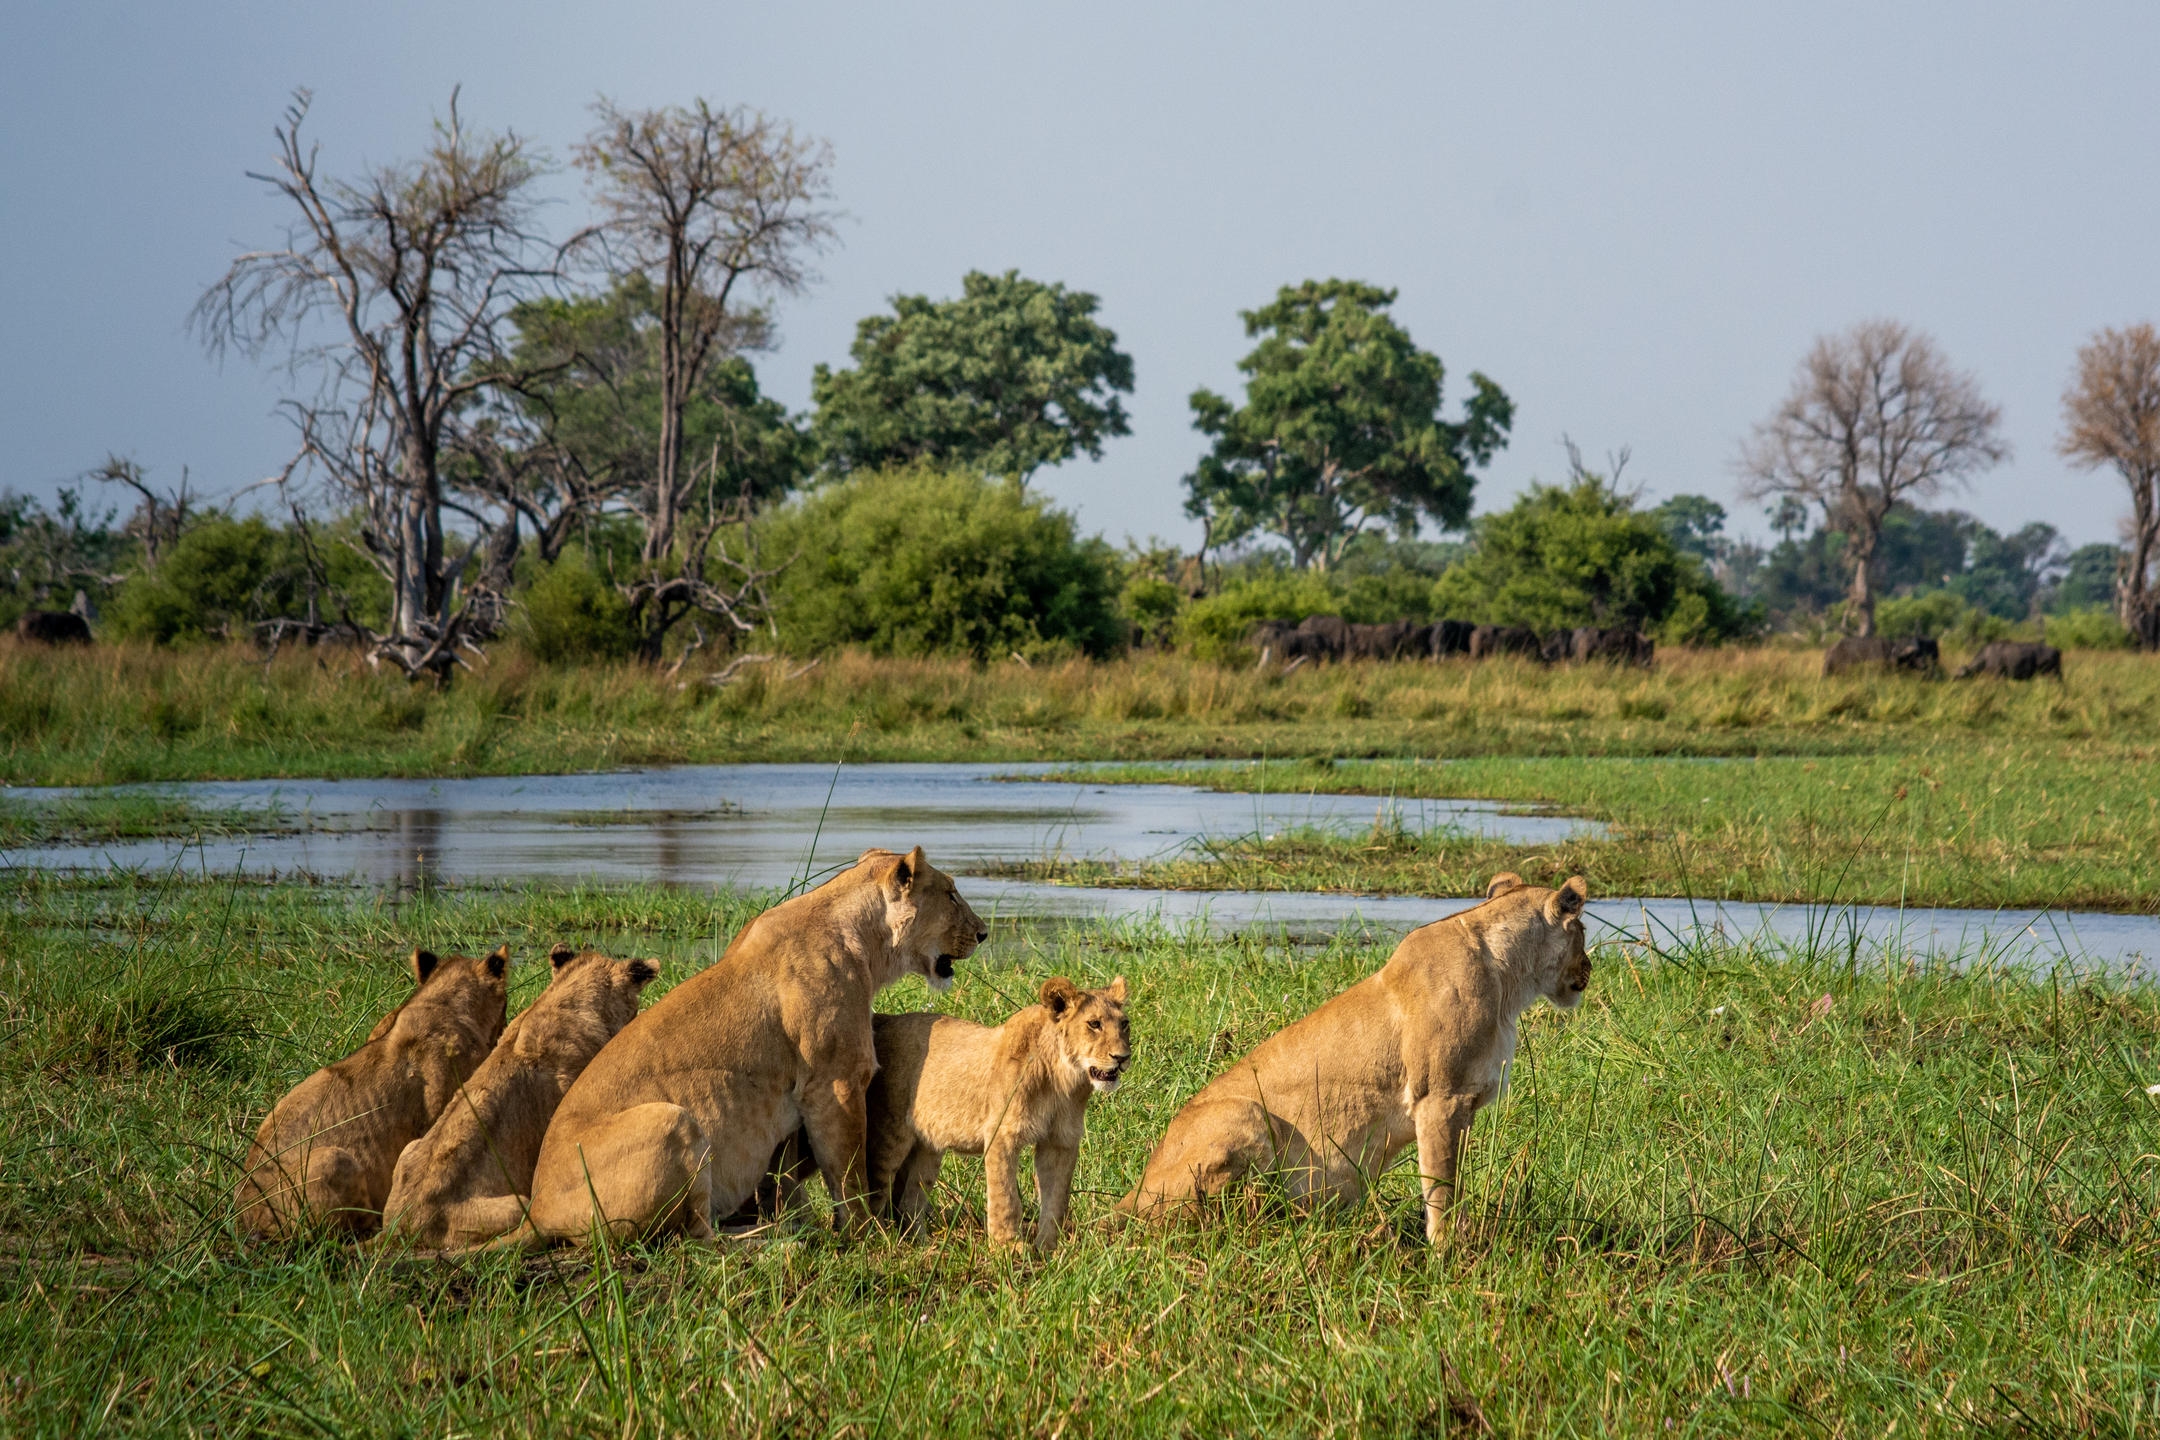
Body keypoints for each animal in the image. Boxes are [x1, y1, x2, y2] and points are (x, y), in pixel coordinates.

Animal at [512, 847, 985, 1246]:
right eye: (951, 893)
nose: (983, 933)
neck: (865, 938)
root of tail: (539, 1214)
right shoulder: (836, 1083)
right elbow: (848, 1171)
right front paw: (867, 1234)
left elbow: (785, 1175)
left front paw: (801, 1216)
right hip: (672, 1119)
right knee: (696, 1238)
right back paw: (765, 1239)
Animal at [865, 976, 1131, 1254]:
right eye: (1094, 1024)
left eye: (1124, 1024)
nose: (1123, 1057)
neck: (1062, 1079)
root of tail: (882, 1019)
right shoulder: (1001, 1134)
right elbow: (1006, 1196)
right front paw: (1008, 1248)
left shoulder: (1061, 1141)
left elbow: (1056, 1200)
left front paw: (1048, 1250)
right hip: (889, 1135)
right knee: (876, 1192)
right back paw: (879, 1240)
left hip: (928, 1147)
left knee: (910, 1202)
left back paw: (925, 1247)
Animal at [1117, 874, 1590, 1244]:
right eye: (1583, 932)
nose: (1589, 967)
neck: (1511, 982)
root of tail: (1129, 1197)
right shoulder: (1438, 1098)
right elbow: (1440, 1186)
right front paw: (1447, 1253)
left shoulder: (1464, 1106)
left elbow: (1452, 1182)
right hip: (1248, 1114)